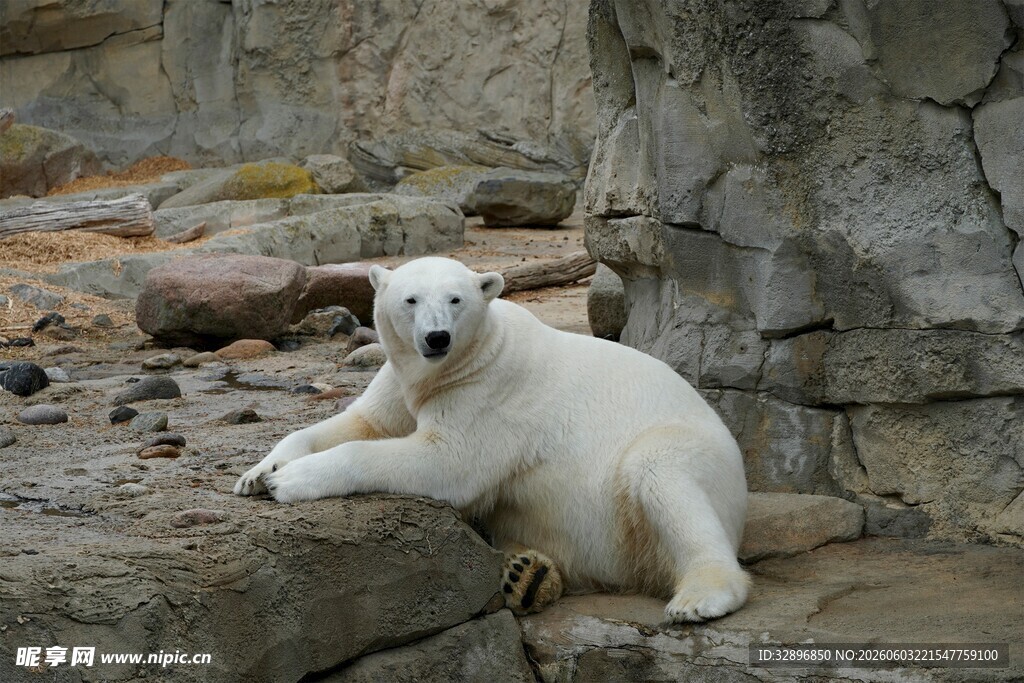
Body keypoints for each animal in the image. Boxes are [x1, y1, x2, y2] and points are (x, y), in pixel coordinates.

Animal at [234, 256, 749, 622]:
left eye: (456, 299)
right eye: (411, 300)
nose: (437, 338)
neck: (460, 362)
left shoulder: (489, 392)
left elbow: (449, 460)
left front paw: (291, 480)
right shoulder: (402, 383)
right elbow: (364, 422)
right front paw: (259, 473)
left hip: (689, 458)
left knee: (660, 474)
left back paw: (700, 596)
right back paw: (526, 573)